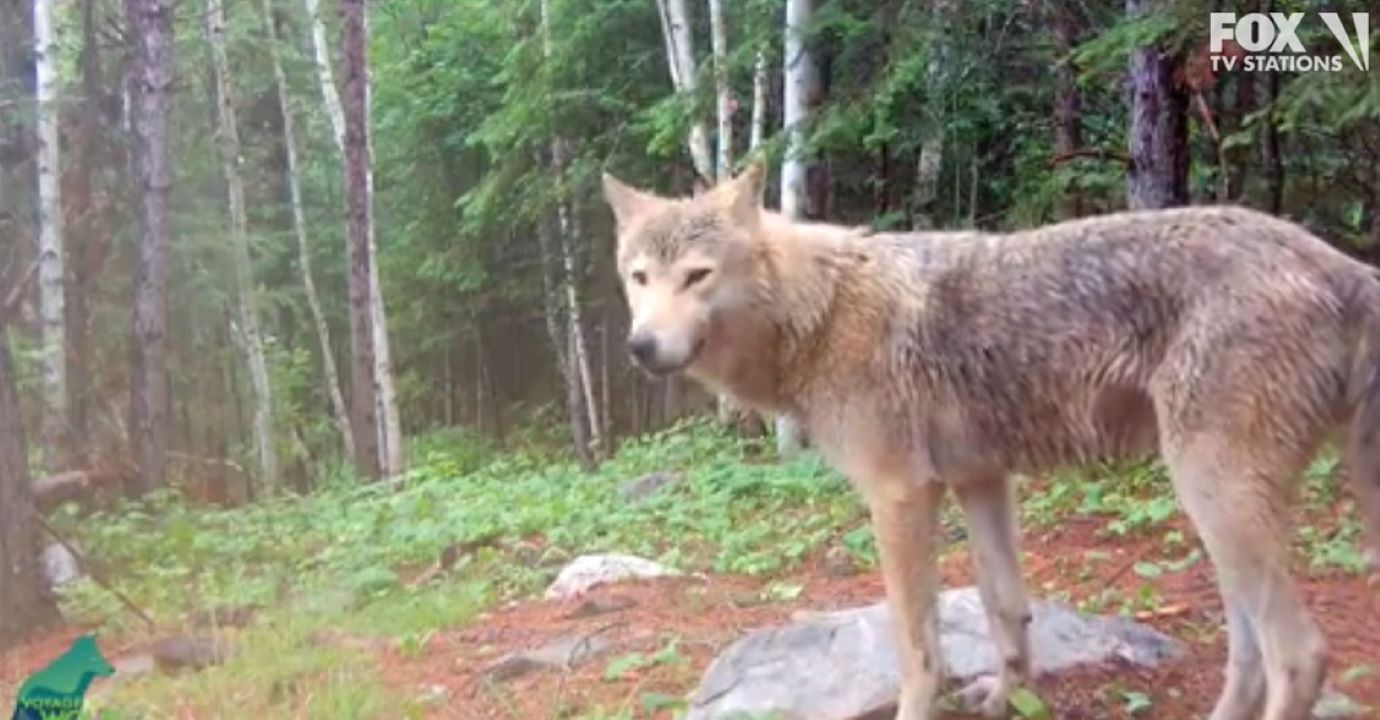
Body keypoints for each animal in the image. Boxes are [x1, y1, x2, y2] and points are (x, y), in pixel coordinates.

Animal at [602, 163, 1380, 720]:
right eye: (639, 278)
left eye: (697, 275)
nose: (640, 347)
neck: (820, 314)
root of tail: (1344, 265)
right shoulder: (980, 480)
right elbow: (1006, 609)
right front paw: (1007, 699)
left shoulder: (899, 494)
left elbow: (917, 644)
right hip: (1216, 516)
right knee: (1249, 656)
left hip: (1215, 498)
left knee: (1299, 656)